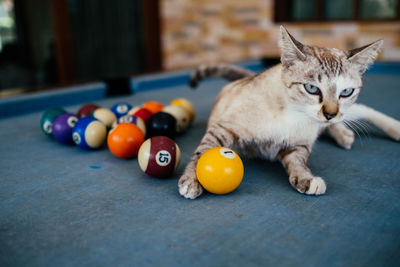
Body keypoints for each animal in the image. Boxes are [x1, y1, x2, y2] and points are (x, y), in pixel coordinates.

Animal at [178, 26, 400, 200]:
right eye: (312, 89)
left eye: (346, 92)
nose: (330, 114)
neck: (295, 114)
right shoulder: (223, 128)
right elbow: (202, 152)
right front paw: (192, 181)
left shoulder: (298, 145)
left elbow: (299, 163)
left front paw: (306, 180)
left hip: (345, 113)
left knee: (362, 111)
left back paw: (386, 129)